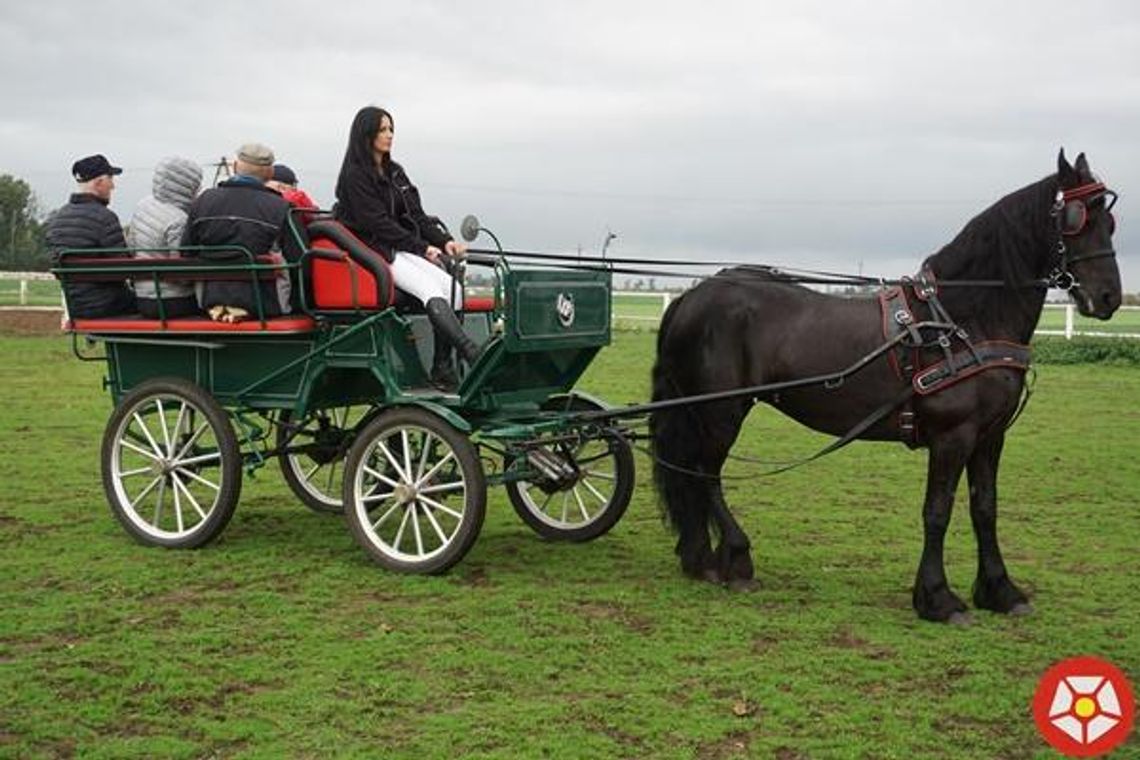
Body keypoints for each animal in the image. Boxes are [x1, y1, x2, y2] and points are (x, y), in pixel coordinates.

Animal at [652, 150, 1121, 624]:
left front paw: (1000, 590)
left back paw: (701, 558)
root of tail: (692, 296)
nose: (1109, 298)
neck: (964, 319)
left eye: (1110, 221)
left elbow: (985, 508)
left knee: (691, 474)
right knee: (705, 473)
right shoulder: (953, 436)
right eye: (1076, 218)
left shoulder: (990, 436)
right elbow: (937, 511)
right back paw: (735, 556)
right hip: (721, 411)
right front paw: (938, 597)